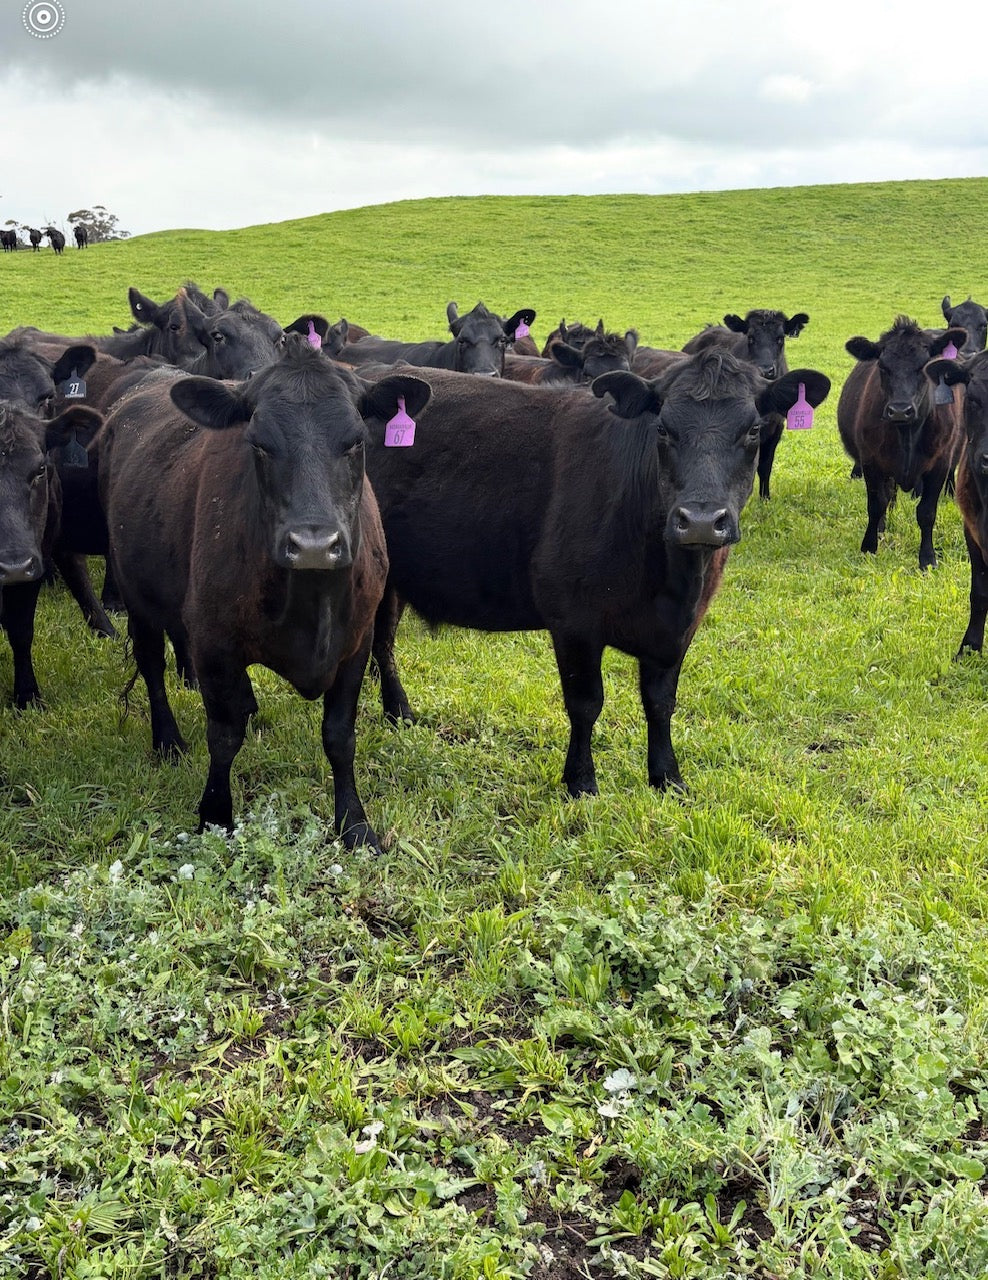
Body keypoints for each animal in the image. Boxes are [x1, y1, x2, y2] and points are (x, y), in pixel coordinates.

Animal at [98, 334, 430, 847]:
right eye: (258, 443)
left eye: (357, 440)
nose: (314, 545)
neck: (310, 602)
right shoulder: (215, 643)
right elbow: (223, 735)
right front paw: (215, 814)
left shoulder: (356, 642)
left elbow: (340, 736)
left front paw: (354, 824)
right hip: (135, 592)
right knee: (152, 666)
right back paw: (167, 739)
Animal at [366, 352, 830, 798]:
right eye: (663, 429)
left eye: (753, 430)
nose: (699, 521)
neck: (671, 584)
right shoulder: (574, 621)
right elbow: (586, 703)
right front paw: (581, 782)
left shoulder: (681, 628)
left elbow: (661, 702)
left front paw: (668, 777)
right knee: (383, 643)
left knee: (383, 640)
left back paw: (398, 713)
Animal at [680, 309, 811, 500]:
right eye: (751, 338)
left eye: (780, 338)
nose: (765, 370)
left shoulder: (777, 426)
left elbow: (765, 465)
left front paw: (765, 498)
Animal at [837, 315, 967, 570]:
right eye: (882, 366)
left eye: (924, 366)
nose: (899, 410)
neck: (907, 435)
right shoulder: (871, 462)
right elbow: (876, 504)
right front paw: (869, 546)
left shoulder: (940, 464)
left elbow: (926, 512)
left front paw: (927, 559)